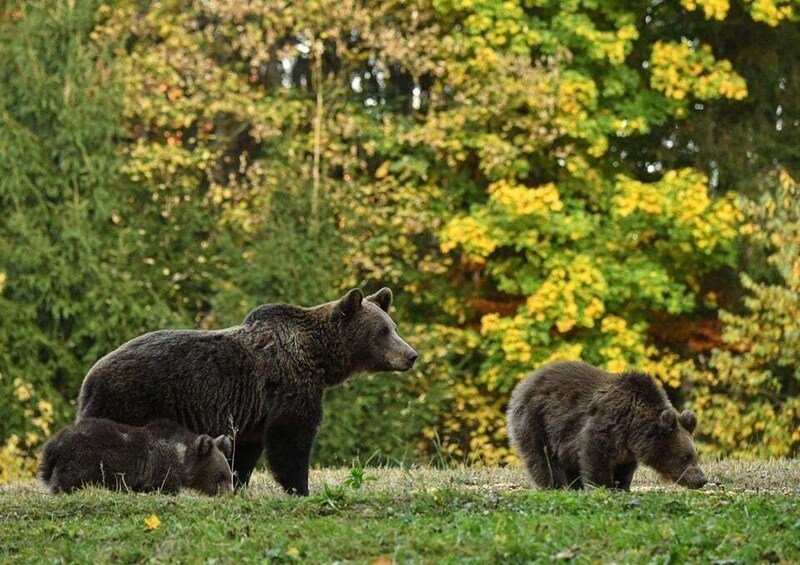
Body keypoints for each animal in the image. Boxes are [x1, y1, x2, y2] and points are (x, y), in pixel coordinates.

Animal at [39, 417, 233, 495]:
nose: (229, 494)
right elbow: (164, 487)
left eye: (229, 476)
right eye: (221, 475)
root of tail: (55, 443)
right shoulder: (162, 467)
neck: (183, 459)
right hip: (82, 463)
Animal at [76, 287, 418, 495]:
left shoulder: (254, 411)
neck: (318, 358)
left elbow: (246, 450)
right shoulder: (290, 386)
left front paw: (237, 482)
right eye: (383, 331)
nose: (411, 355)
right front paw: (301, 488)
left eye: (394, 326)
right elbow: (292, 439)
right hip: (130, 399)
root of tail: (90, 376)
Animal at [507, 360, 707, 490]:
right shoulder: (605, 425)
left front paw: (621, 487)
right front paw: (603, 487)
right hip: (537, 420)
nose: (701, 480)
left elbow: (624, 469)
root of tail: (525, 382)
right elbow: (595, 457)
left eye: (695, 456)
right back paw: (554, 485)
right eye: (685, 456)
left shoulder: (627, 449)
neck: (633, 428)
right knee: (542, 457)